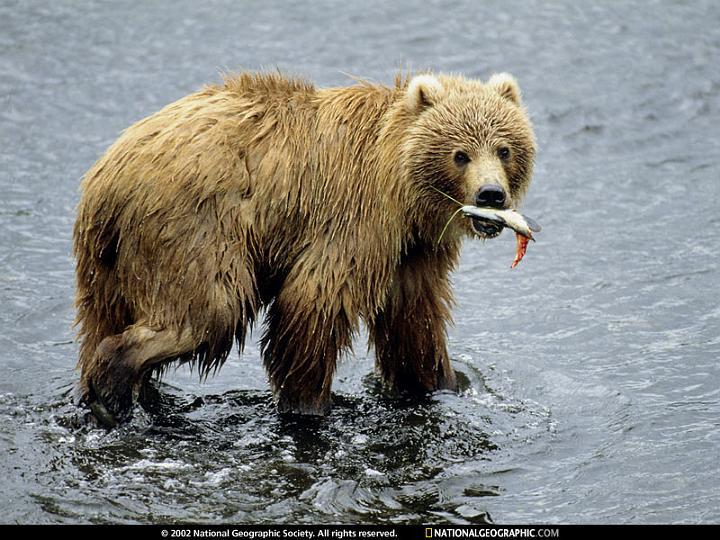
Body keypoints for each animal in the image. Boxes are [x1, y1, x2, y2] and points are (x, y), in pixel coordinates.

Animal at [73, 71, 536, 427]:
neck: (403, 193)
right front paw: (308, 403)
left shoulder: (411, 251)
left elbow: (413, 321)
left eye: (504, 148)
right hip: (194, 230)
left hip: (108, 262)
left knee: (103, 318)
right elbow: (313, 303)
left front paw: (442, 382)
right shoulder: (356, 217)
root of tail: (106, 175)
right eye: (460, 154)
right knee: (208, 312)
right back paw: (112, 390)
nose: (491, 194)